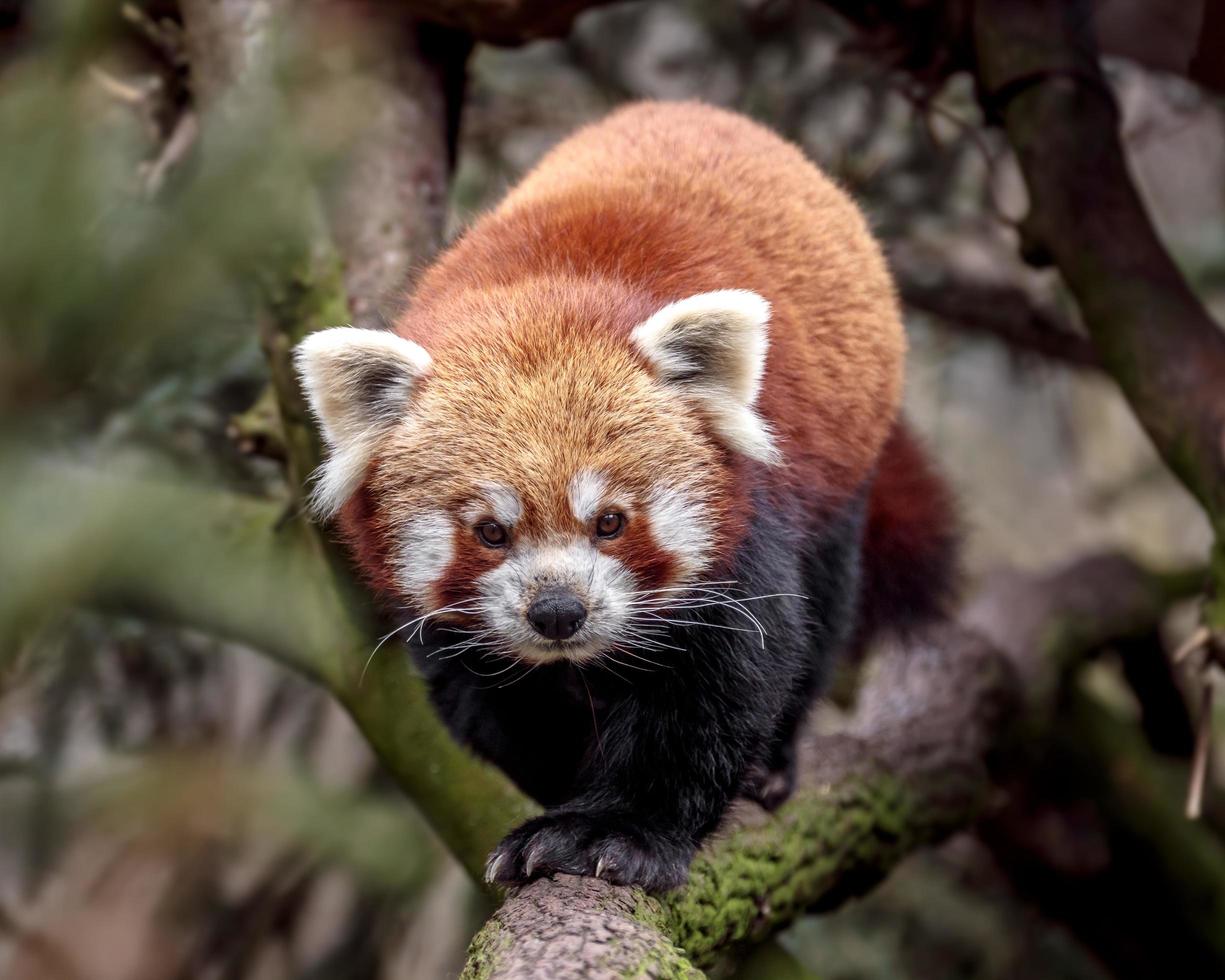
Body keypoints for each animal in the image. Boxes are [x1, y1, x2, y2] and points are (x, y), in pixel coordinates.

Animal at [294, 103, 955, 891]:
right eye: (490, 531)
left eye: (610, 522)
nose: (558, 613)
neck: (546, 292)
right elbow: (487, 704)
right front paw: (563, 782)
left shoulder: (745, 521)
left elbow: (724, 680)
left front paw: (609, 830)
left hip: (843, 465)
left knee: (824, 605)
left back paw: (772, 763)